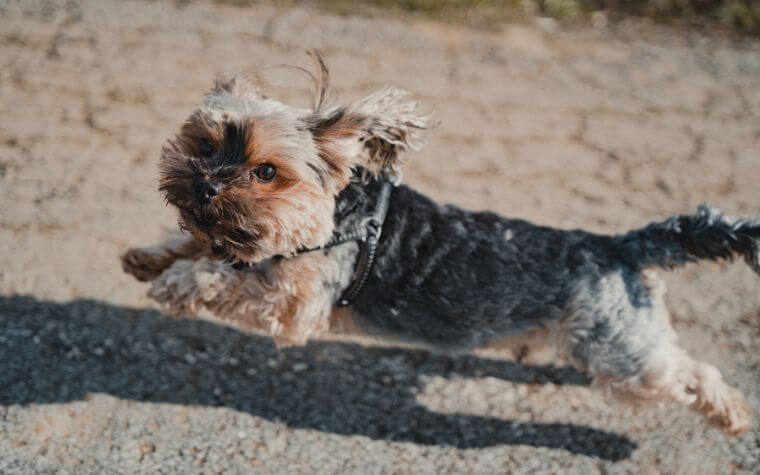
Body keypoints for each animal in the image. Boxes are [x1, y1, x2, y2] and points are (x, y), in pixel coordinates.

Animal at [121, 51, 756, 436]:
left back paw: (733, 416)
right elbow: (201, 248)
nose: (205, 186)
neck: (335, 215)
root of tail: (623, 246)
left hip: (620, 355)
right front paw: (148, 259)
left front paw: (176, 285)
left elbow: (222, 276)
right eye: (204, 145)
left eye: (266, 172)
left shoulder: (295, 304)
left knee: (690, 373)